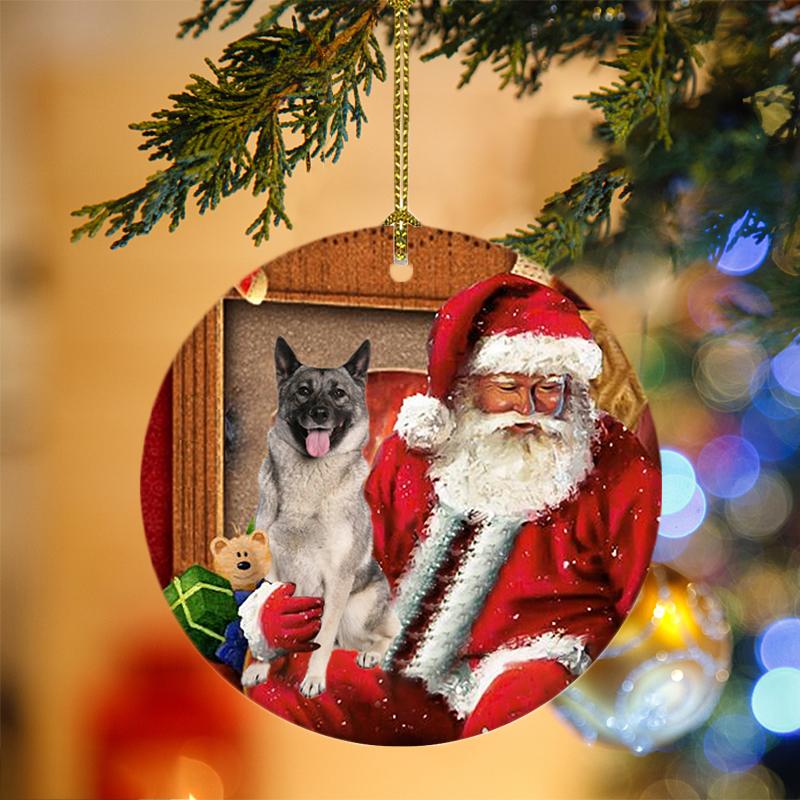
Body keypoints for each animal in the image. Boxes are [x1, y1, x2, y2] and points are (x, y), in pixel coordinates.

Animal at [241, 338, 396, 700]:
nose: (320, 414)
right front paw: (260, 665)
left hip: (355, 611)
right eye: (303, 391)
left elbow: (323, 638)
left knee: (382, 636)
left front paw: (313, 679)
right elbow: (268, 619)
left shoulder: (337, 579)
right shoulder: (273, 575)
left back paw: (371, 654)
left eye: (338, 393)